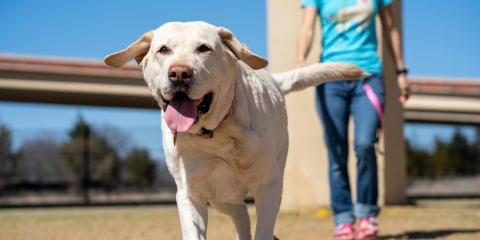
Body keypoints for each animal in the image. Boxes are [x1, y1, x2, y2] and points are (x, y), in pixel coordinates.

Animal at [105, 21, 366, 239]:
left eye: (204, 49)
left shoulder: (269, 186)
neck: (214, 134)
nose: (179, 73)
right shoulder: (190, 193)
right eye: (163, 50)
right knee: (240, 212)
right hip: (221, 196)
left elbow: (263, 231)